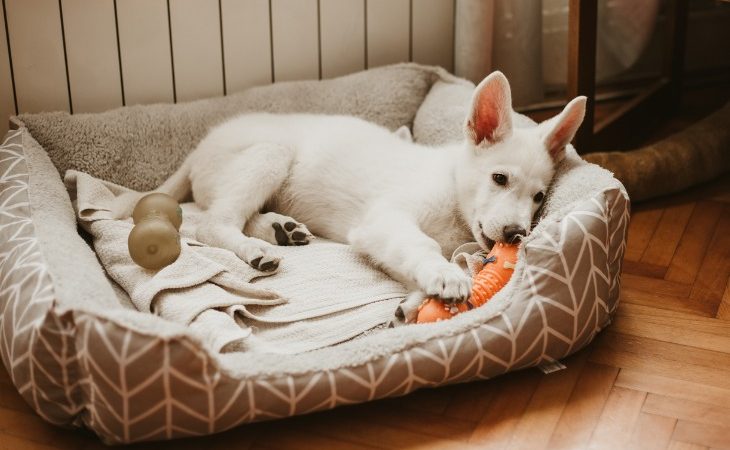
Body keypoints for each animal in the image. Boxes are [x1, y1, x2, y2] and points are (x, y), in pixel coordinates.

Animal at [111, 72, 584, 304]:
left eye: (539, 197)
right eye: (499, 178)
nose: (516, 235)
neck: (452, 190)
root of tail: (199, 147)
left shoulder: (382, 239)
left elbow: (403, 264)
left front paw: (415, 303)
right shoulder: (384, 221)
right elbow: (420, 246)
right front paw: (445, 275)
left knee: (229, 215)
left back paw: (281, 230)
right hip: (269, 153)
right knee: (212, 223)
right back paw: (256, 249)